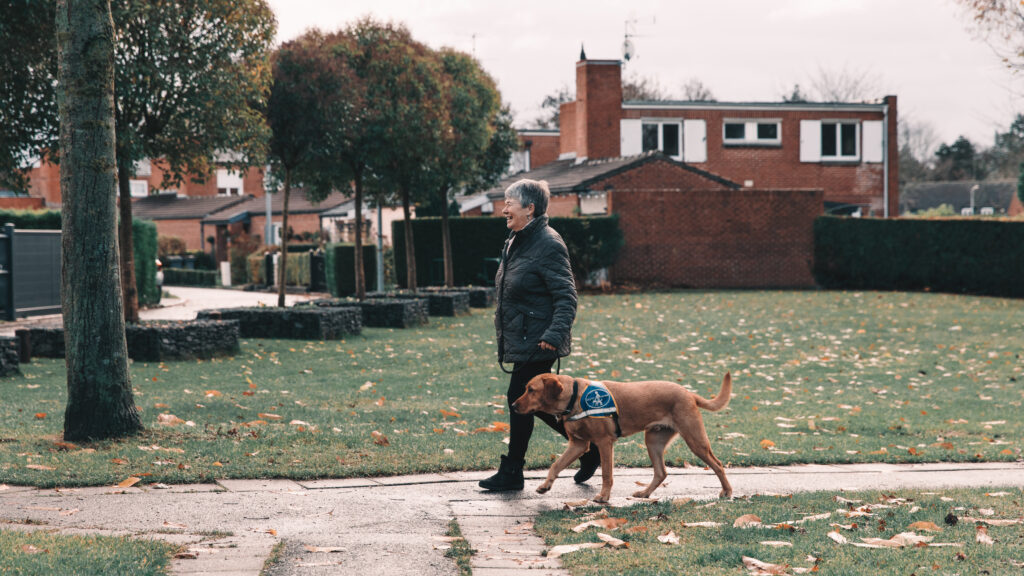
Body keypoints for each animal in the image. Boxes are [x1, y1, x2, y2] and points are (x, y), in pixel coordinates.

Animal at [507, 368, 733, 500]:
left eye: (531, 390)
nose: (513, 405)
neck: (573, 398)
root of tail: (689, 393)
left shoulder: (604, 443)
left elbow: (607, 473)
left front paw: (604, 496)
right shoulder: (578, 444)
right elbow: (556, 465)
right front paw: (545, 486)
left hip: (695, 440)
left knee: (718, 465)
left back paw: (727, 491)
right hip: (653, 441)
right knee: (661, 472)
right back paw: (645, 493)